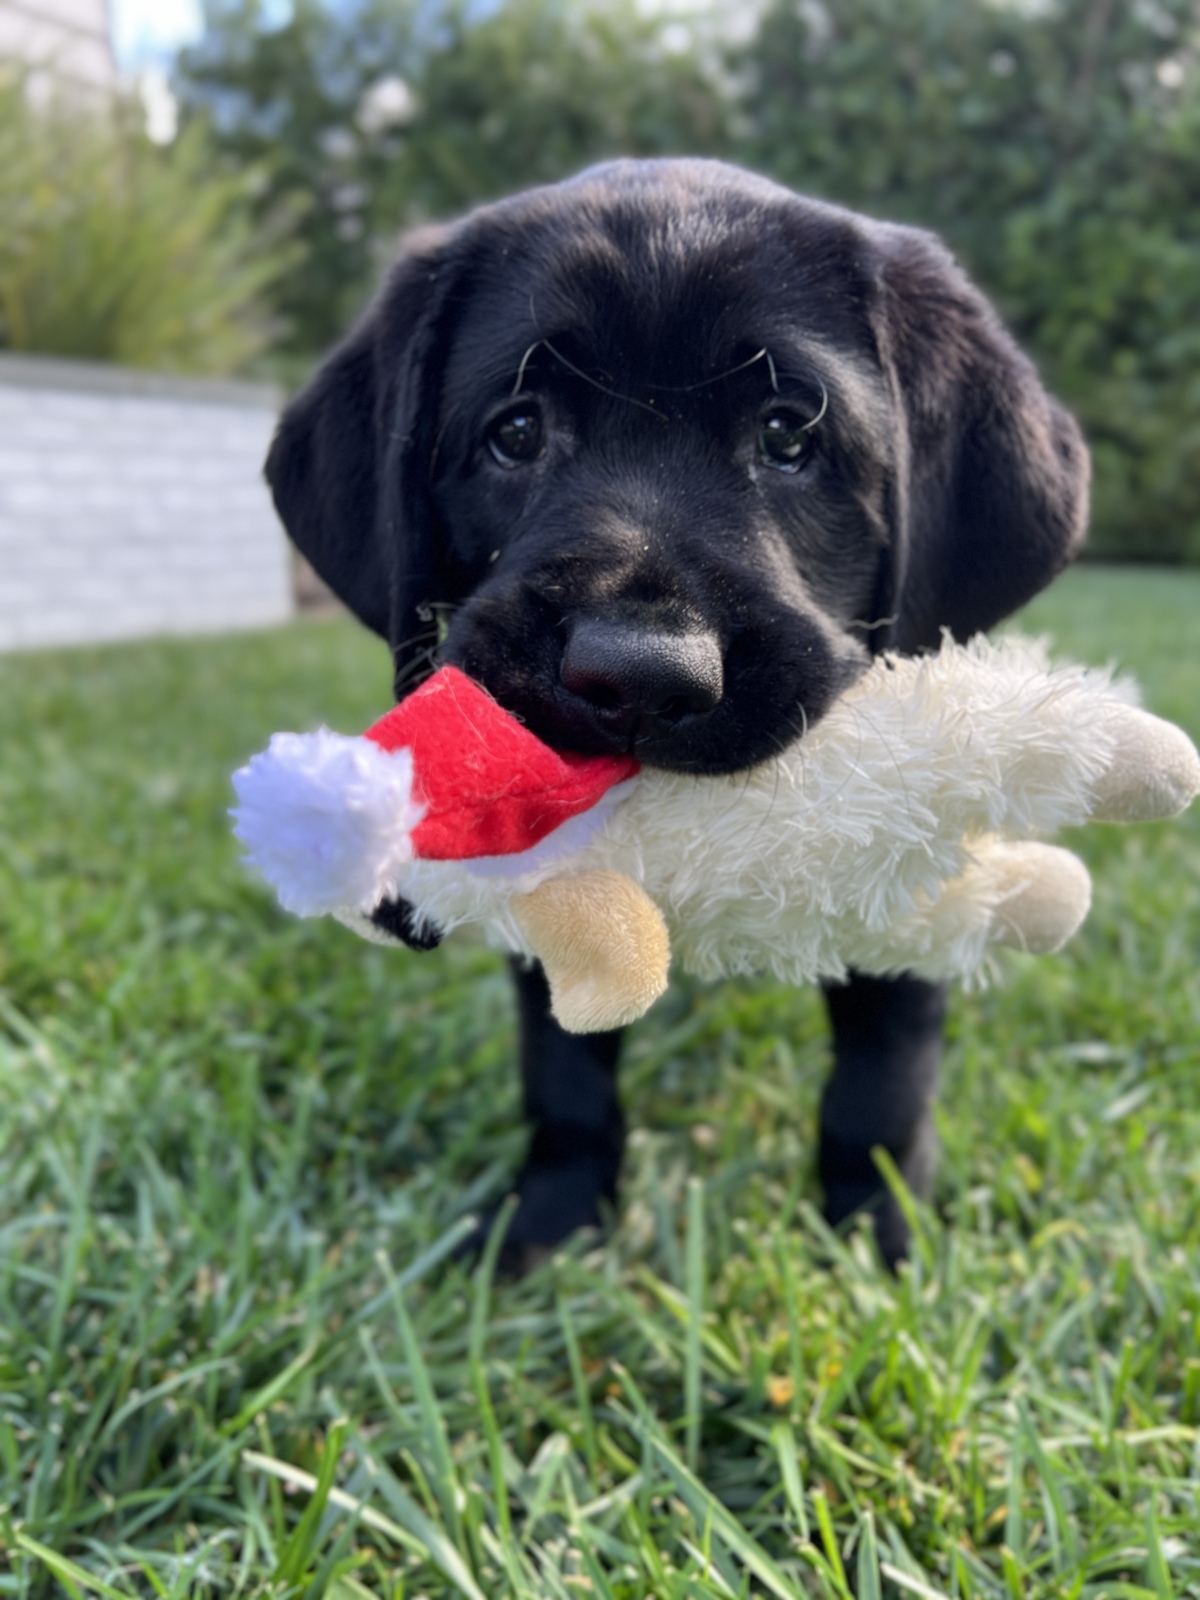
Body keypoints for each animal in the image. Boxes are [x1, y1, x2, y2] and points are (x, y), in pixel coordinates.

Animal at [267, 159, 1094, 1260]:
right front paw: (552, 1219)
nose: (640, 675)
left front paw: (878, 1237)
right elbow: (567, 1072)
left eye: (789, 433)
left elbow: (880, 1079)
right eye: (515, 433)